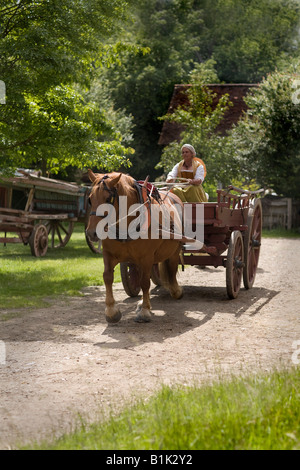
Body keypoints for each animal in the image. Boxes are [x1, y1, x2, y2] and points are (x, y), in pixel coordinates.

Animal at [85, 171, 185, 324]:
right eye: (90, 199)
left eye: (108, 199)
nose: (92, 232)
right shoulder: (108, 253)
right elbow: (107, 277)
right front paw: (111, 311)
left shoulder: (146, 257)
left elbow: (144, 282)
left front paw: (144, 311)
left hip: (175, 248)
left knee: (172, 268)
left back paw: (175, 290)